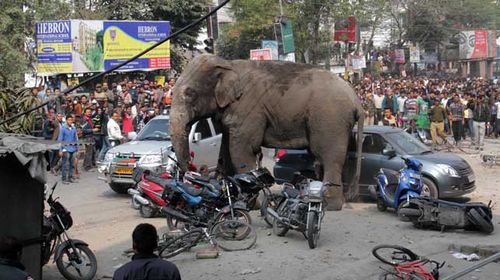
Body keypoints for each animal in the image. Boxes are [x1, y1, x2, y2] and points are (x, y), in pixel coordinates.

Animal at [171, 54, 364, 210]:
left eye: (190, 93)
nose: (194, 169)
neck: (227, 64)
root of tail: (356, 100)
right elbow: (225, 151)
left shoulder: (248, 109)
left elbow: (243, 149)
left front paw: (250, 204)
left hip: (330, 119)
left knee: (328, 156)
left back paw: (329, 205)